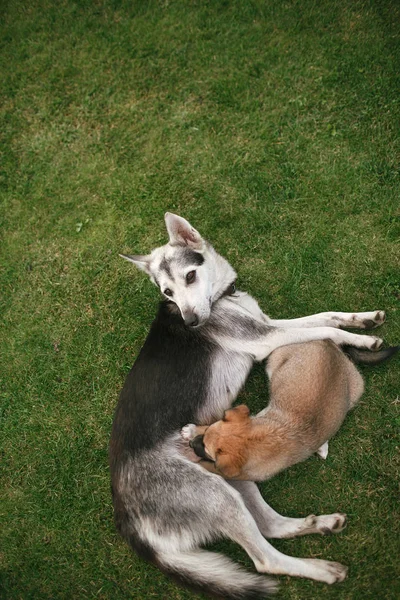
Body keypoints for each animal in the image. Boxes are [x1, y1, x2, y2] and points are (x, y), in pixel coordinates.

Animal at [184, 340, 366, 480]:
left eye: (206, 449)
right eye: (206, 434)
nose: (191, 444)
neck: (255, 440)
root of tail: (328, 343)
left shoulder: (242, 475)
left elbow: (208, 467)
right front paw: (191, 430)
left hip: (355, 392)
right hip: (275, 368)